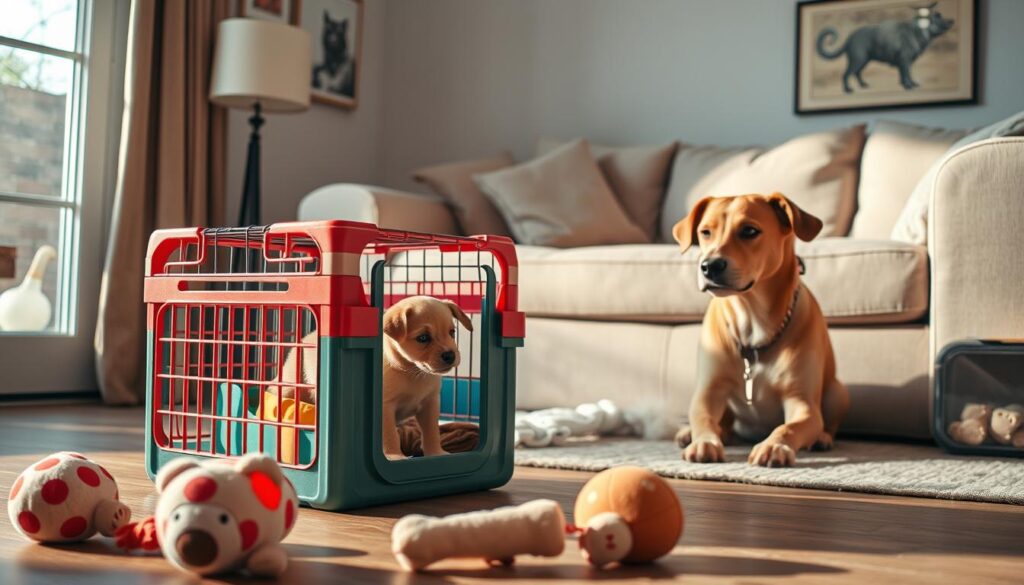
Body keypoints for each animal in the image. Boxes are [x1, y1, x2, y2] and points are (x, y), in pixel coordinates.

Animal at [268, 246, 483, 463]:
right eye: (423, 338)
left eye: (452, 332)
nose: (450, 355)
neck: (411, 372)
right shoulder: (385, 408)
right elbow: (390, 436)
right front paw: (395, 456)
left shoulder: (429, 404)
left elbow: (431, 432)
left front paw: (436, 453)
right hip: (289, 386)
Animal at [671, 192, 847, 467]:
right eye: (705, 232)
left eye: (749, 231)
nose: (710, 265)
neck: (752, 321)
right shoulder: (708, 392)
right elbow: (703, 417)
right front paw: (703, 442)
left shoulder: (802, 402)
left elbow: (789, 426)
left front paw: (774, 446)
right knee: (723, 425)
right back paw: (690, 433)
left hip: (838, 392)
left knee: (829, 423)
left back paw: (821, 438)